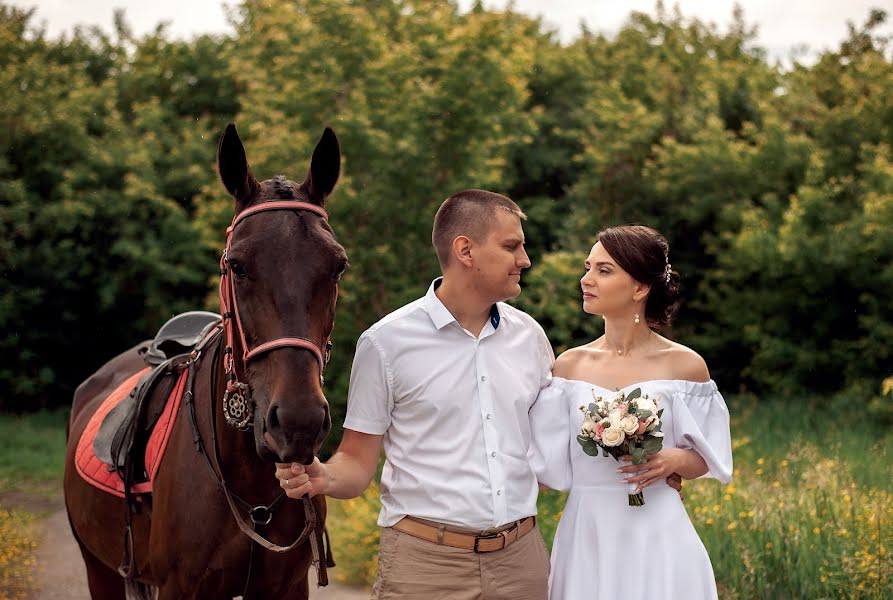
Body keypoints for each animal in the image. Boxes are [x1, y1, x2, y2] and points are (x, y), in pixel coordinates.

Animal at [62, 124, 346, 596]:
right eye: (238, 266)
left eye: (338, 266)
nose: (298, 422)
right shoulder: (178, 587)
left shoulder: (287, 588)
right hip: (97, 569)